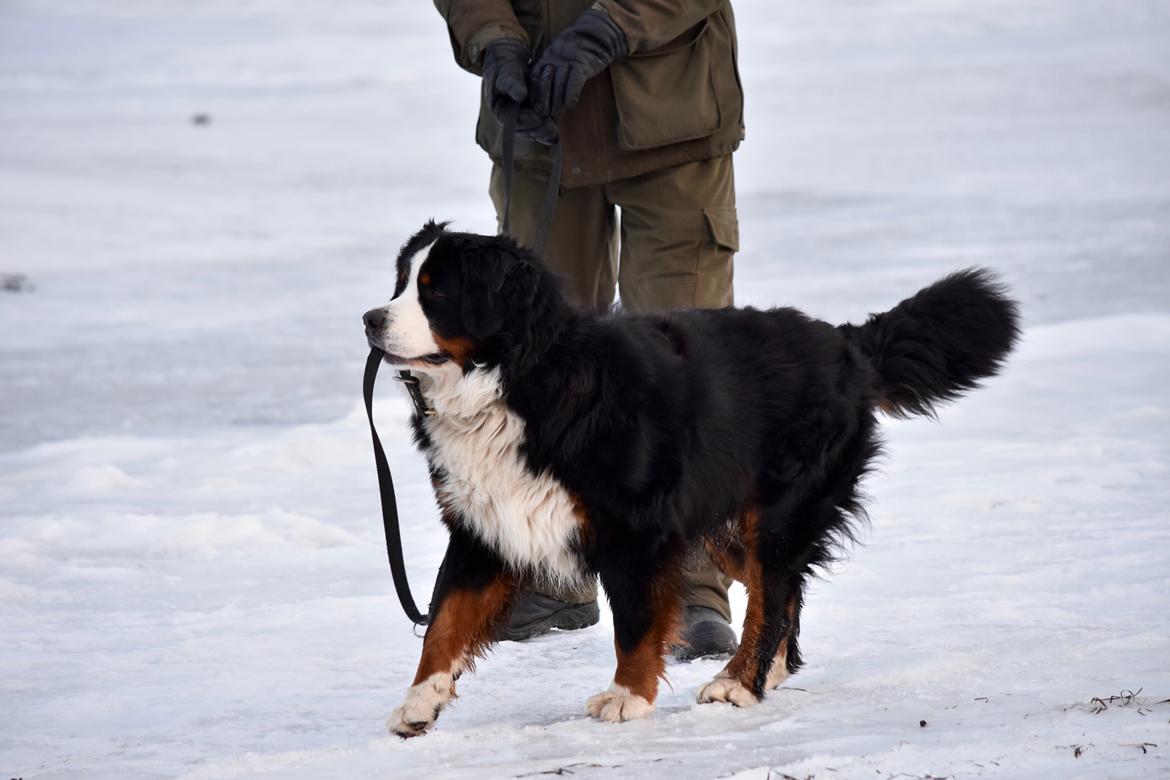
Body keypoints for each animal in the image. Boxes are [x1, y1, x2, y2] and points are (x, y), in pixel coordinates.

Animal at [360, 221, 1020, 739]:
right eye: (400, 282)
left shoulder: (635, 532)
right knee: (781, 593)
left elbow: (634, 624)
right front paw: (420, 702)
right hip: (725, 523)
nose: (369, 318)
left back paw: (740, 683)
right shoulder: (484, 523)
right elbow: (444, 622)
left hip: (777, 512)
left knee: (773, 597)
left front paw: (628, 697)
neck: (517, 380)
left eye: (437, 291)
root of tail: (843, 341)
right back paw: (768, 671)